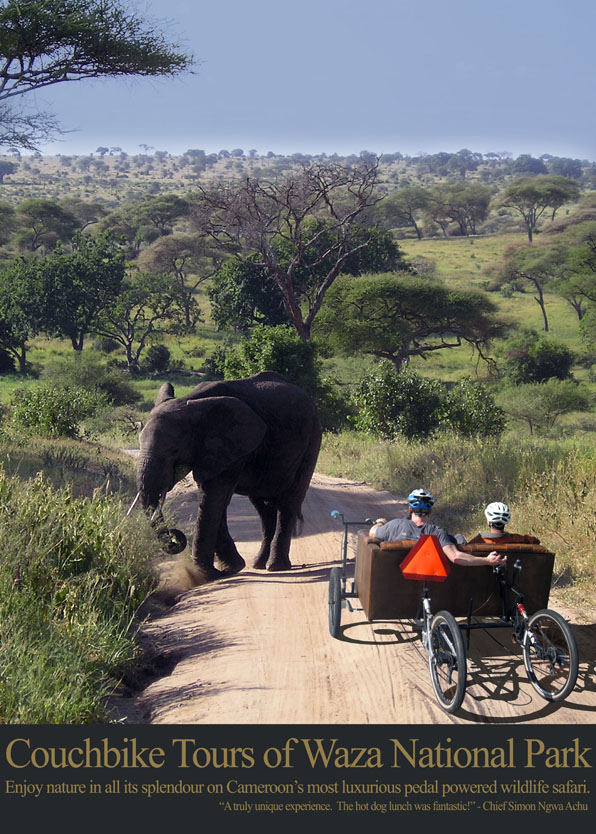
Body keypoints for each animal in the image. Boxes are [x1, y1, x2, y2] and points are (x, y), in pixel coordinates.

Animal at [132, 370, 322, 580]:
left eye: (174, 450)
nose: (175, 538)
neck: (190, 402)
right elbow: (213, 499)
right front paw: (231, 569)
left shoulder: (233, 443)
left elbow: (215, 497)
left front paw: (205, 575)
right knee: (263, 508)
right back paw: (259, 564)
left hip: (312, 439)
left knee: (289, 500)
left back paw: (276, 567)